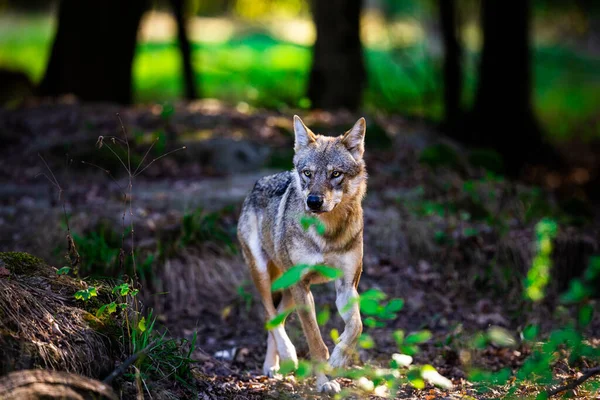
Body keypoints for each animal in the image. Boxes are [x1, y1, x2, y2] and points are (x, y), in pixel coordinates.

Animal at [237, 114, 368, 392]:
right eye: (308, 173)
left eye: (335, 174)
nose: (314, 202)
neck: (327, 233)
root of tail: (257, 183)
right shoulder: (302, 285)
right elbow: (315, 341)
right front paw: (323, 382)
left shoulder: (346, 286)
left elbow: (356, 327)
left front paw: (339, 360)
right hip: (265, 275)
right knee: (270, 315)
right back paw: (286, 358)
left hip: (289, 291)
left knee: (278, 316)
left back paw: (274, 365)